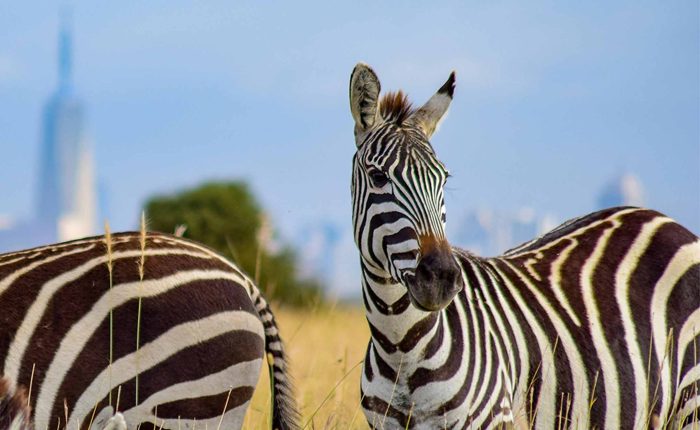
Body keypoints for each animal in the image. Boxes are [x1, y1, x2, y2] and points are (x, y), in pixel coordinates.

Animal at [348, 62, 700, 429]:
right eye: (378, 178)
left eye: (442, 179)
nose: (442, 279)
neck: (400, 347)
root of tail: (661, 218)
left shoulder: (492, 418)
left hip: (691, 402)